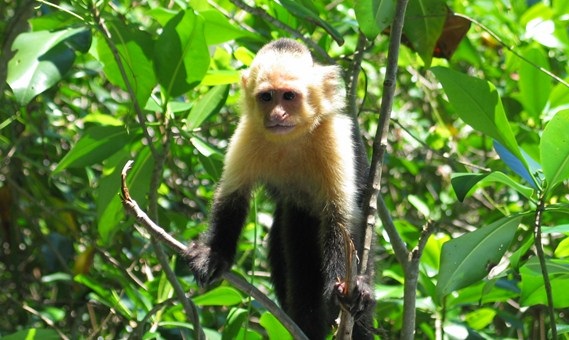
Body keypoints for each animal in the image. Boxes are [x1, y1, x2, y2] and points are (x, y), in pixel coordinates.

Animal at [185, 38, 372, 338]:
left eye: (289, 97)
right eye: (266, 97)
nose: (277, 114)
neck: (292, 138)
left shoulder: (333, 134)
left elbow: (339, 216)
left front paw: (345, 288)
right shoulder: (248, 132)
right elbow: (233, 197)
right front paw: (212, 255)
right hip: (296, 221)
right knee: (297, 268)